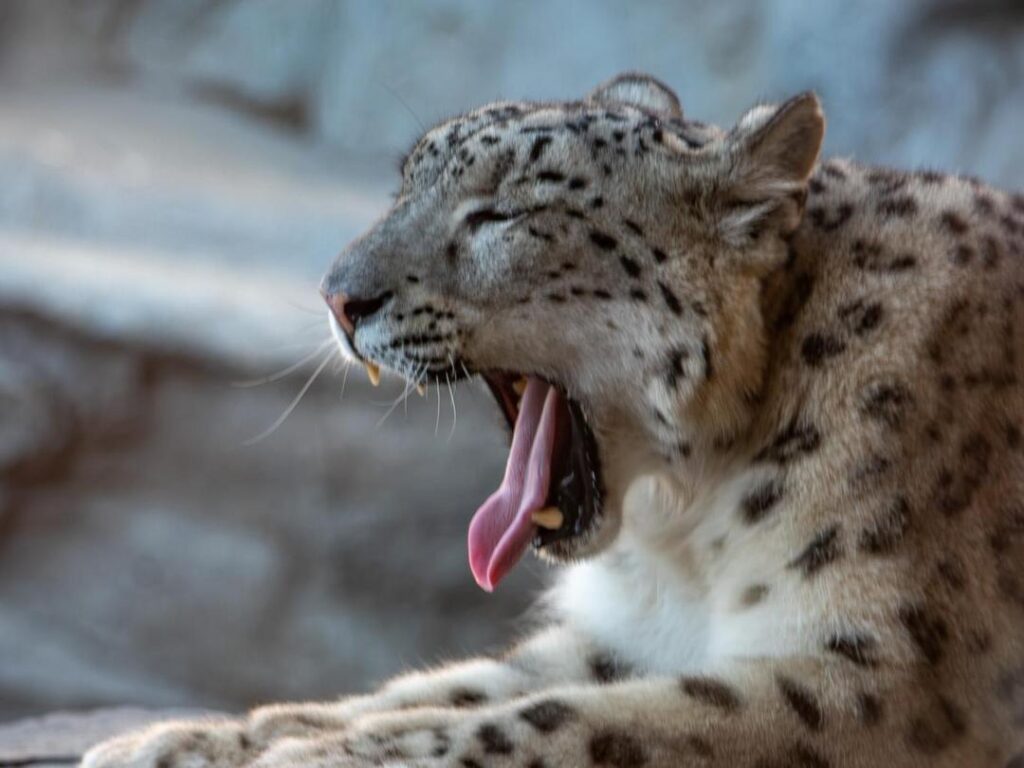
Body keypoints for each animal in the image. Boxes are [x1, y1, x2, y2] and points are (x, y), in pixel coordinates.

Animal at [83, 72, 1024, 768]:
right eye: (404, 185)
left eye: (501, 214)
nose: (338, 297)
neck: (691, 536)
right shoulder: (631, 632)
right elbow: (461, 685)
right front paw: (197, 737)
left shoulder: (879, 672)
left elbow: (571, 720)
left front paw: (306, 756)